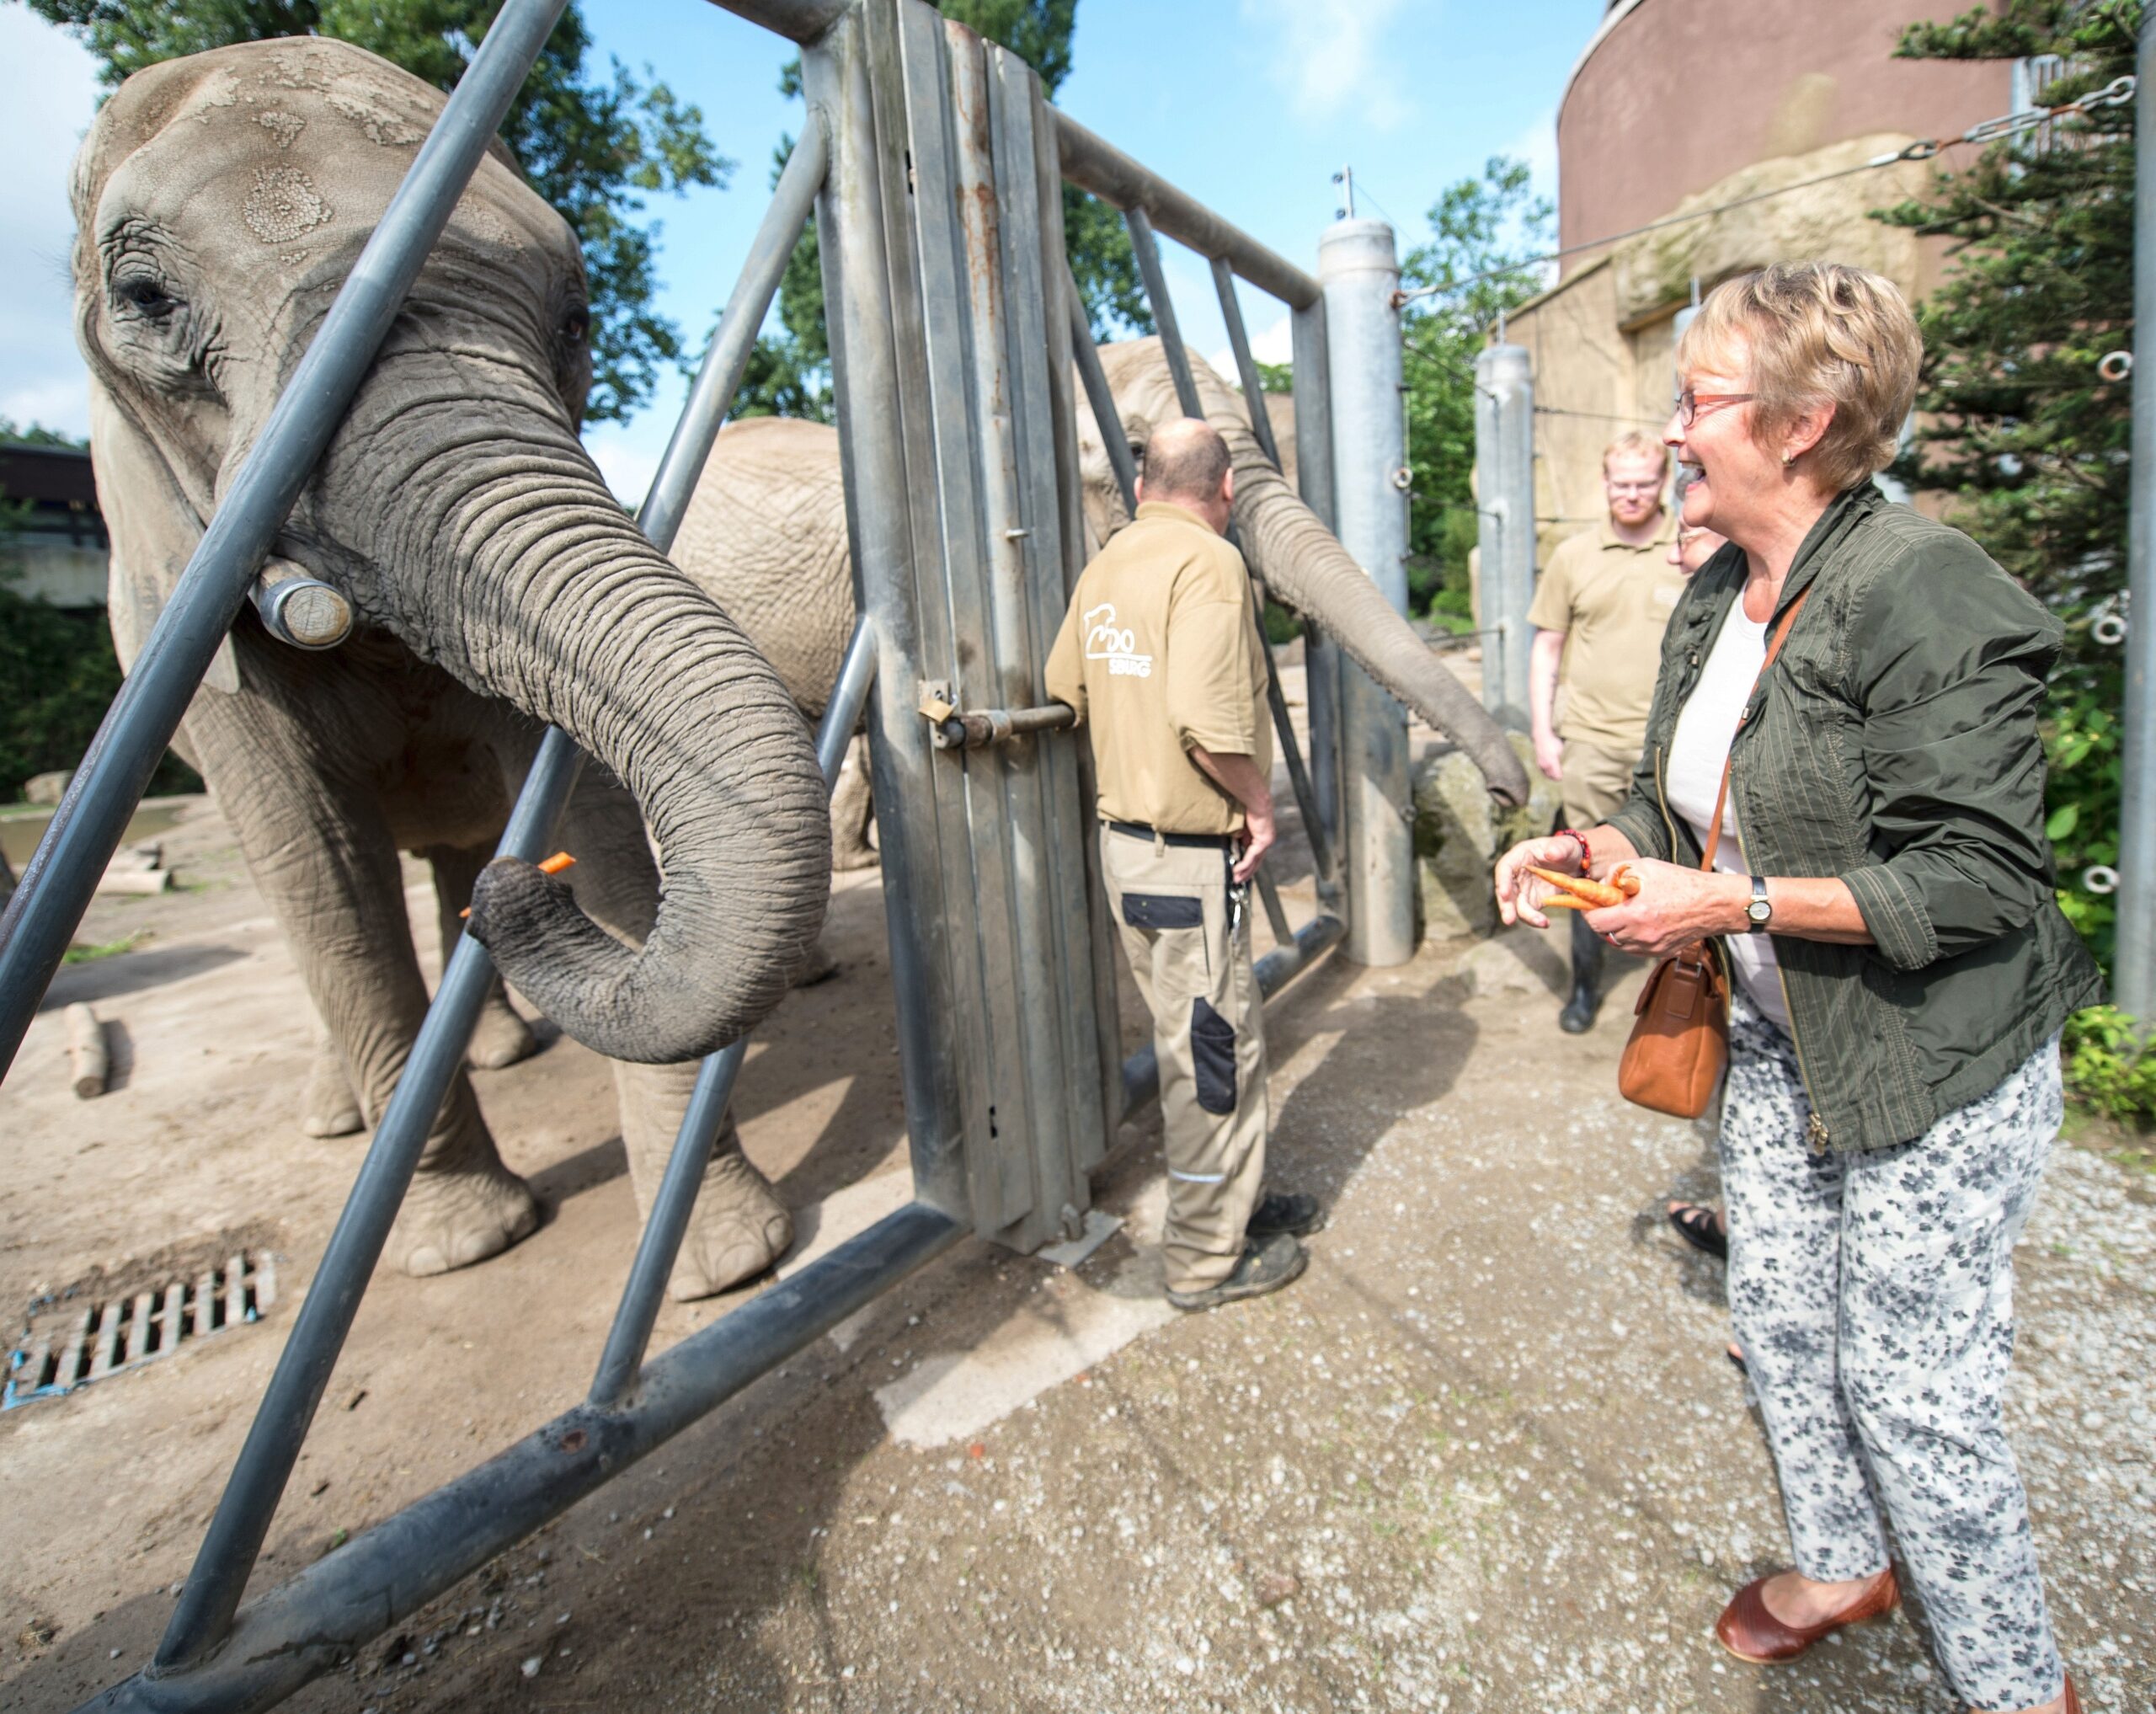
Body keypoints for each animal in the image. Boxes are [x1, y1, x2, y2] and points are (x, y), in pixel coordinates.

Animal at [72, 40, 828, 1293]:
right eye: (144, 300)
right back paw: (356, 1106)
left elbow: (589, 805)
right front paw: (472, 1246)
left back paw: (502, 1031)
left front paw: (727, 1264)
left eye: (576, 316)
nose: (525, 892)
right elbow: (324, 880)